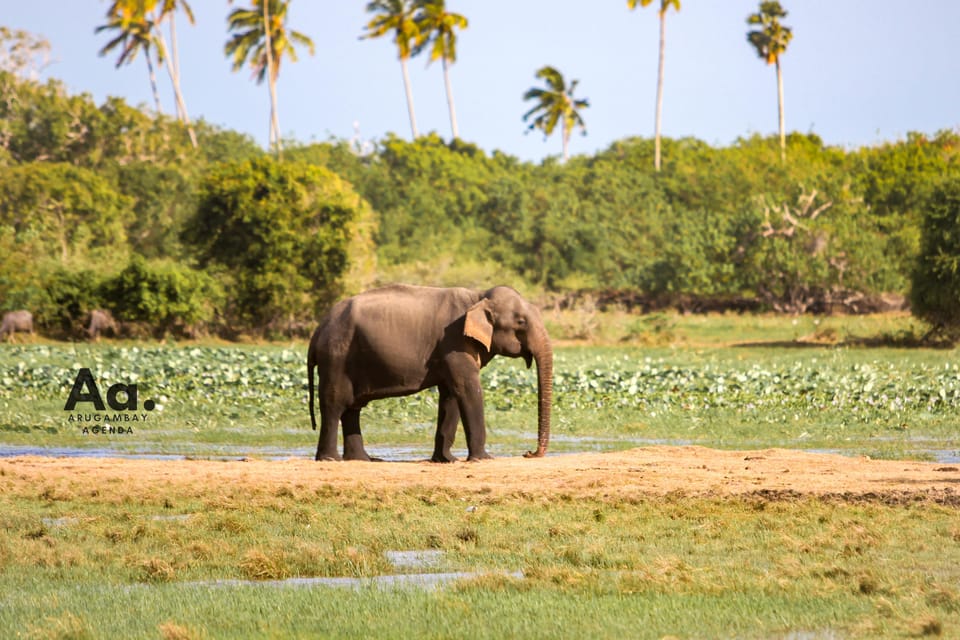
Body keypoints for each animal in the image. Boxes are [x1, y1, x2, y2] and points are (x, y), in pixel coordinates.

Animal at [304, 288, 552, 462]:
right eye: (521, 322)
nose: (528, 453)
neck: (478, 297)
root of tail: (318, 331)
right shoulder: (454, 343)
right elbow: (467, 389)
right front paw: (484, 459)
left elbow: (450, 395)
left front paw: (447, 460)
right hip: (336, 357)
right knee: (335, 403)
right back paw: (331, 459)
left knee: (353, 407)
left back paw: (363, 459)